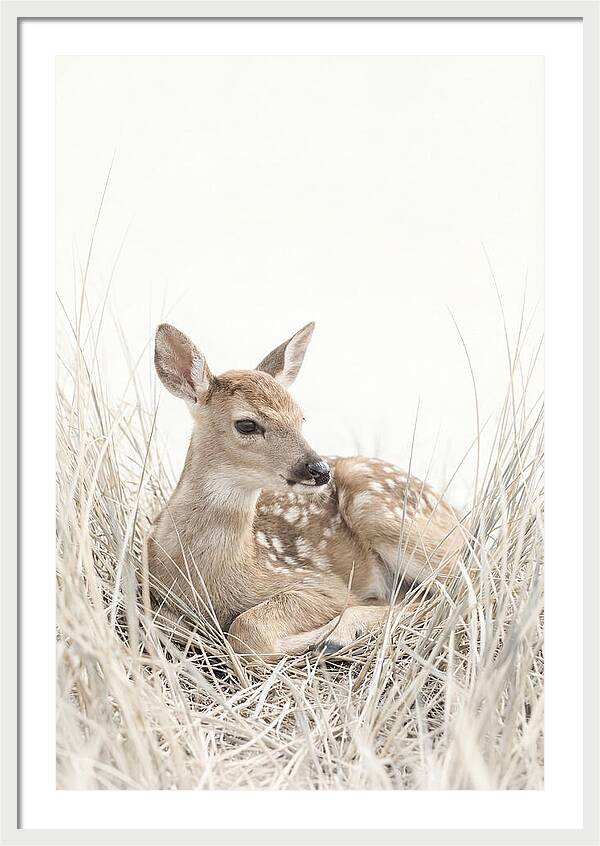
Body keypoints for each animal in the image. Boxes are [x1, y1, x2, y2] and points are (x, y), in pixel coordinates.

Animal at [145, 321, 464, 661]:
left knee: (457, 587)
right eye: (247, 424)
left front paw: (315, 638)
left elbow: (248, 630)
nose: (319, 469)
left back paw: (338, 635)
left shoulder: (320, 583)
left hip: (382, 510)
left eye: (301, 418)